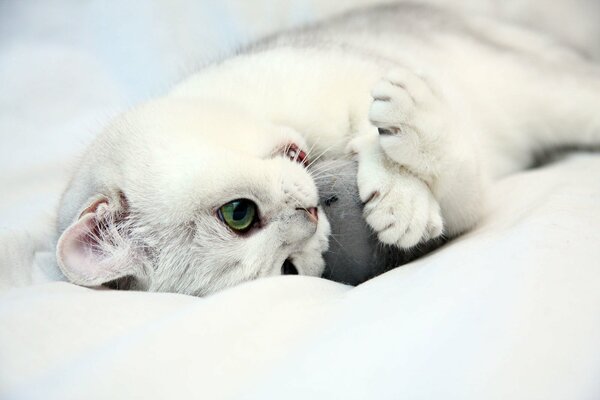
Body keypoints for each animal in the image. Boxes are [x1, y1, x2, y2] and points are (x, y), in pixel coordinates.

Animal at [54, 4, 596, 296]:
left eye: (236, 214)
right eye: (289, 269)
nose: (311, 216)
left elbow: (394, 130)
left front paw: (399, 184)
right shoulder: (472, 199)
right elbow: (461, 180)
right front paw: (407, 206)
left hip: (554, 91)